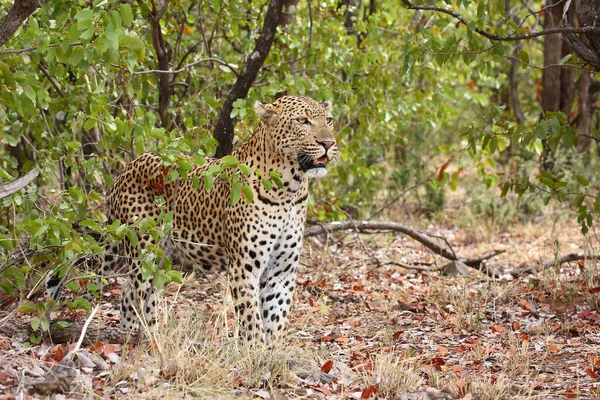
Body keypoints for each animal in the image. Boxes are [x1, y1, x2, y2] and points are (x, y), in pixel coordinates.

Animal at [103, 96, 338, 344]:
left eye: (329, 120)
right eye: (303, 121)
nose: (329, 143)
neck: (290, 189)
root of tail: (127, 167)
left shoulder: (282, 271)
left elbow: (276, 318)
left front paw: (272, 351)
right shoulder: (244, 268)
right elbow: (251, 319)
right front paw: (254, 350)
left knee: (137, 293)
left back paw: (143, 335)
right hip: (144, 251)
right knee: (136, 294)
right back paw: (142, 337)